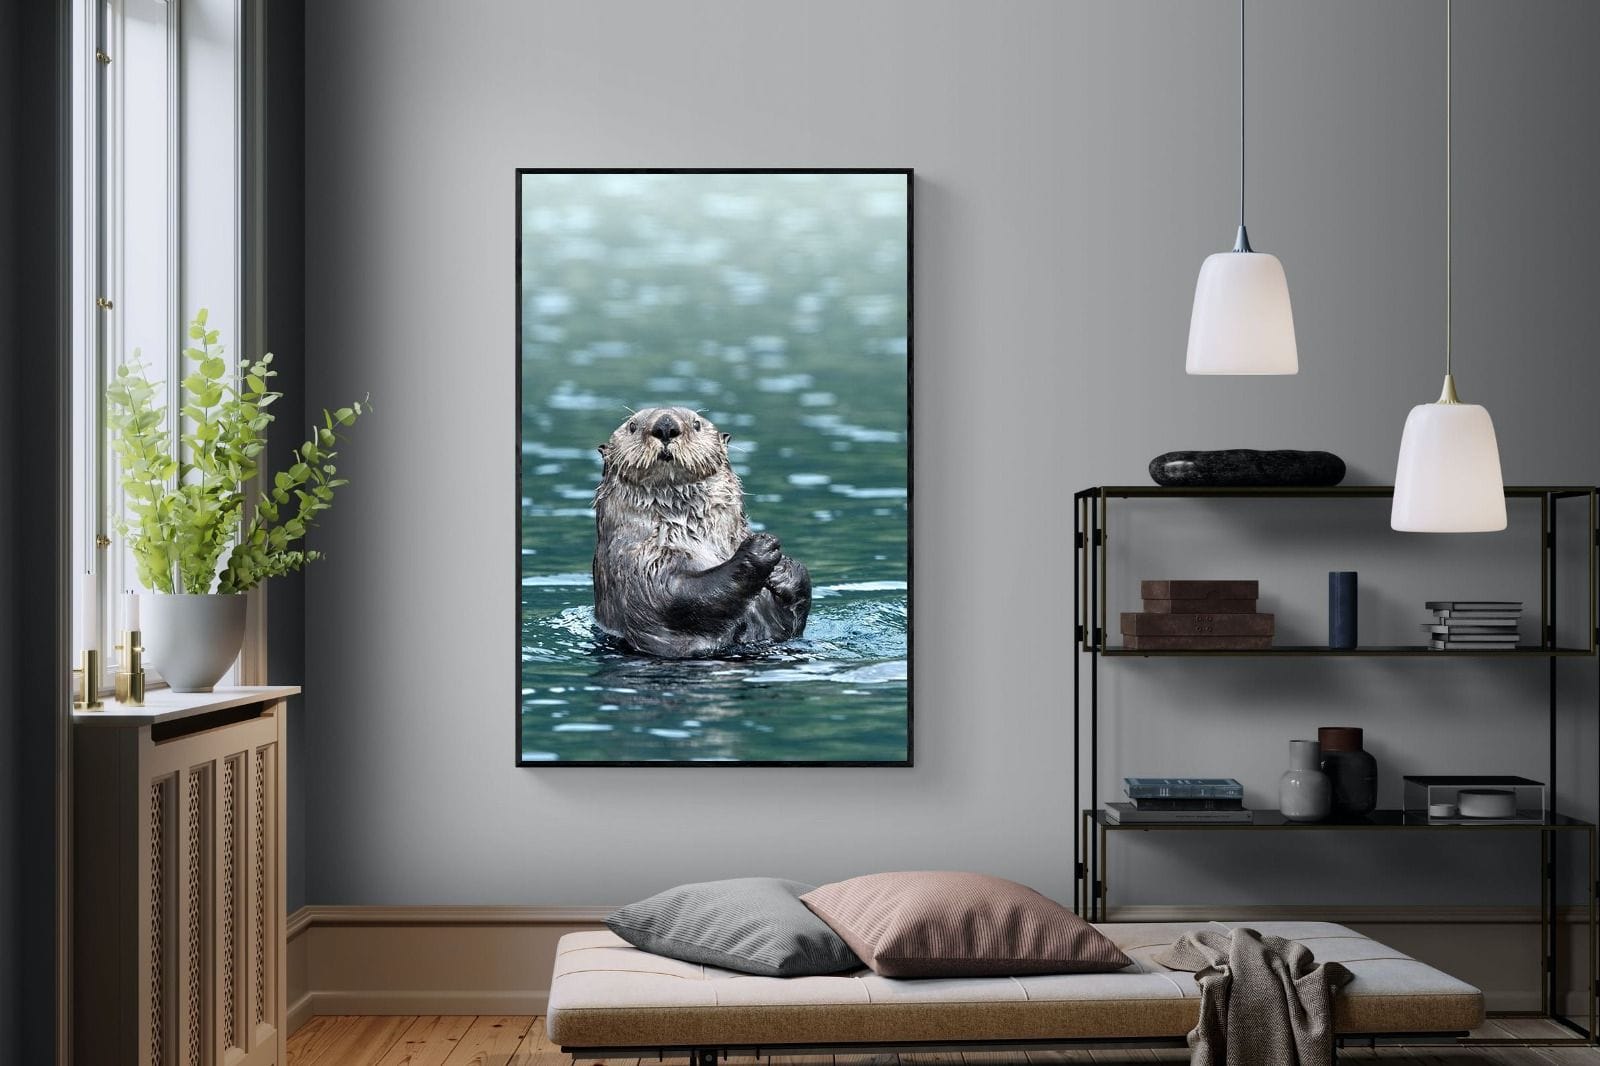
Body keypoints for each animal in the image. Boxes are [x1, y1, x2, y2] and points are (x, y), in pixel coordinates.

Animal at [592, 406, 812, 658]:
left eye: (696, 424)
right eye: (632, 426)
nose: (665, 426)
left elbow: (791, 622)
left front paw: (784, 569)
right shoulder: (637, 564)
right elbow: (676, 596)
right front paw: (759, 548)